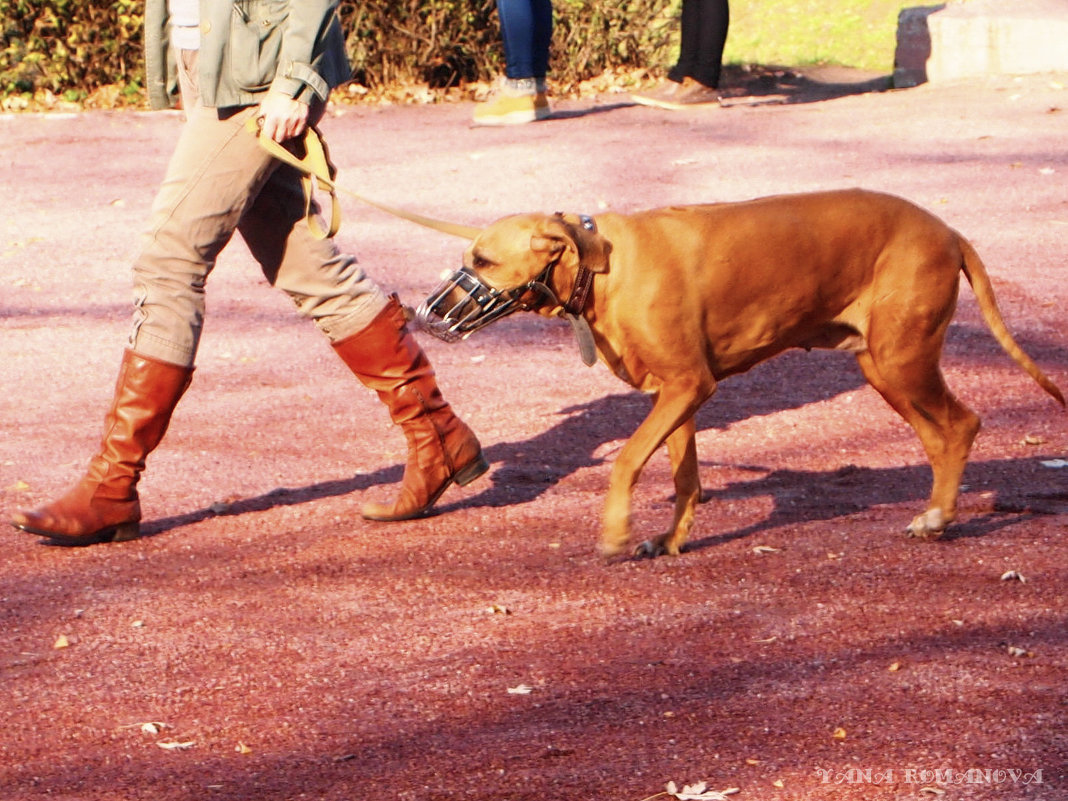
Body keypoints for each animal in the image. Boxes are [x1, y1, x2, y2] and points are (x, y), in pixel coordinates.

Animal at [414, 191, 1059, 559]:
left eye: (483, 260)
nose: (425, 313)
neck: (602, 265)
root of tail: (949, 232)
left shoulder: (688, 388)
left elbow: (625, 461)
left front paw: (616, 533)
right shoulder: (676, 396)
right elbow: (685, 479)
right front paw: (670, 541)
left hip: (904, 360)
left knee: (963, 425)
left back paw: (943, 515)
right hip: (884, 367)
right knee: (939, 437)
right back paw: (935, 515)